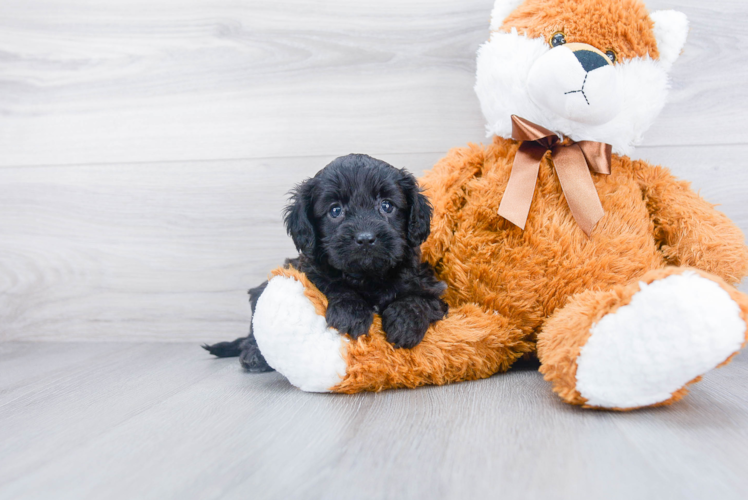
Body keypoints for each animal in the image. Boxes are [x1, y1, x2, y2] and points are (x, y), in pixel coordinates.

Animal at [205, 155, 448, 372]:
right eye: (335, 210)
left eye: (387, 206)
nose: (365, 238)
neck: (367, 276)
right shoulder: (308, 272)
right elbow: (333, 284)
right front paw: (351, 313)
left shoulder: (429, 285)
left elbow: (419, 299)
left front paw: (405, 323)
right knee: (253, 333)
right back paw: (254, 355)